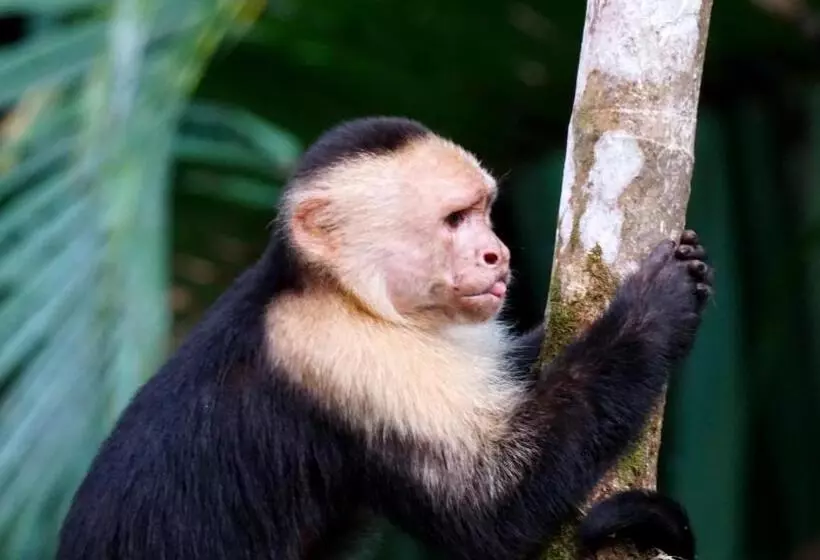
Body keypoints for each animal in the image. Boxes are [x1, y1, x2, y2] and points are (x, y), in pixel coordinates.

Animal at [57, 116, 712, 560]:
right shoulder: (340, 347)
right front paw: (653, 308)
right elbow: (490, 509)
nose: (497, 254)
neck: (335, 290)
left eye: (484, 212)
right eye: (454, 220)